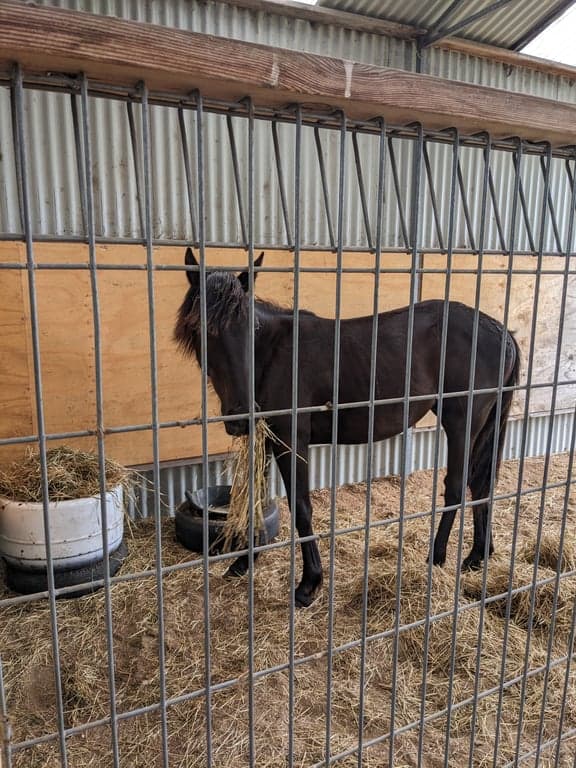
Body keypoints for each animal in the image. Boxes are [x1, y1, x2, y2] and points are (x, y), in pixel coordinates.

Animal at [174, 247, 520, 607]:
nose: (241, 417)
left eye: (251, 329)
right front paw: (244, 563)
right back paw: (477, 555)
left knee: (456, 486)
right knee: (481, 485)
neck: (275, 353)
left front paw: (308, 584)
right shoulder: (267, 440)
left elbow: (301, 506)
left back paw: (436, 558)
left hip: (461, 423)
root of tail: (502, 332)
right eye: (199, 329)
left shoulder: (291, 439)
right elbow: (256, 500)